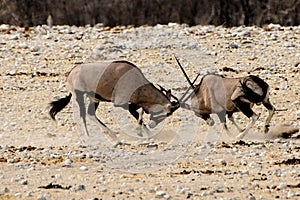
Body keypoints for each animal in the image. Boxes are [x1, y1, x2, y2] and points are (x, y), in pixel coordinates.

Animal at [49, 60, 179, 142]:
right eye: (166, 113)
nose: (153, 125)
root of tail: (72, 72)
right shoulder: (122, 103)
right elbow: (138, 115)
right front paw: (144, 133)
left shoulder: (133, 103)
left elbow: (139, 113)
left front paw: (146, 133)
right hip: (79, 95)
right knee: (83, 115)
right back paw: (89, 136)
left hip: (95, 99)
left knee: (90, 114)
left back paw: (113, 136)